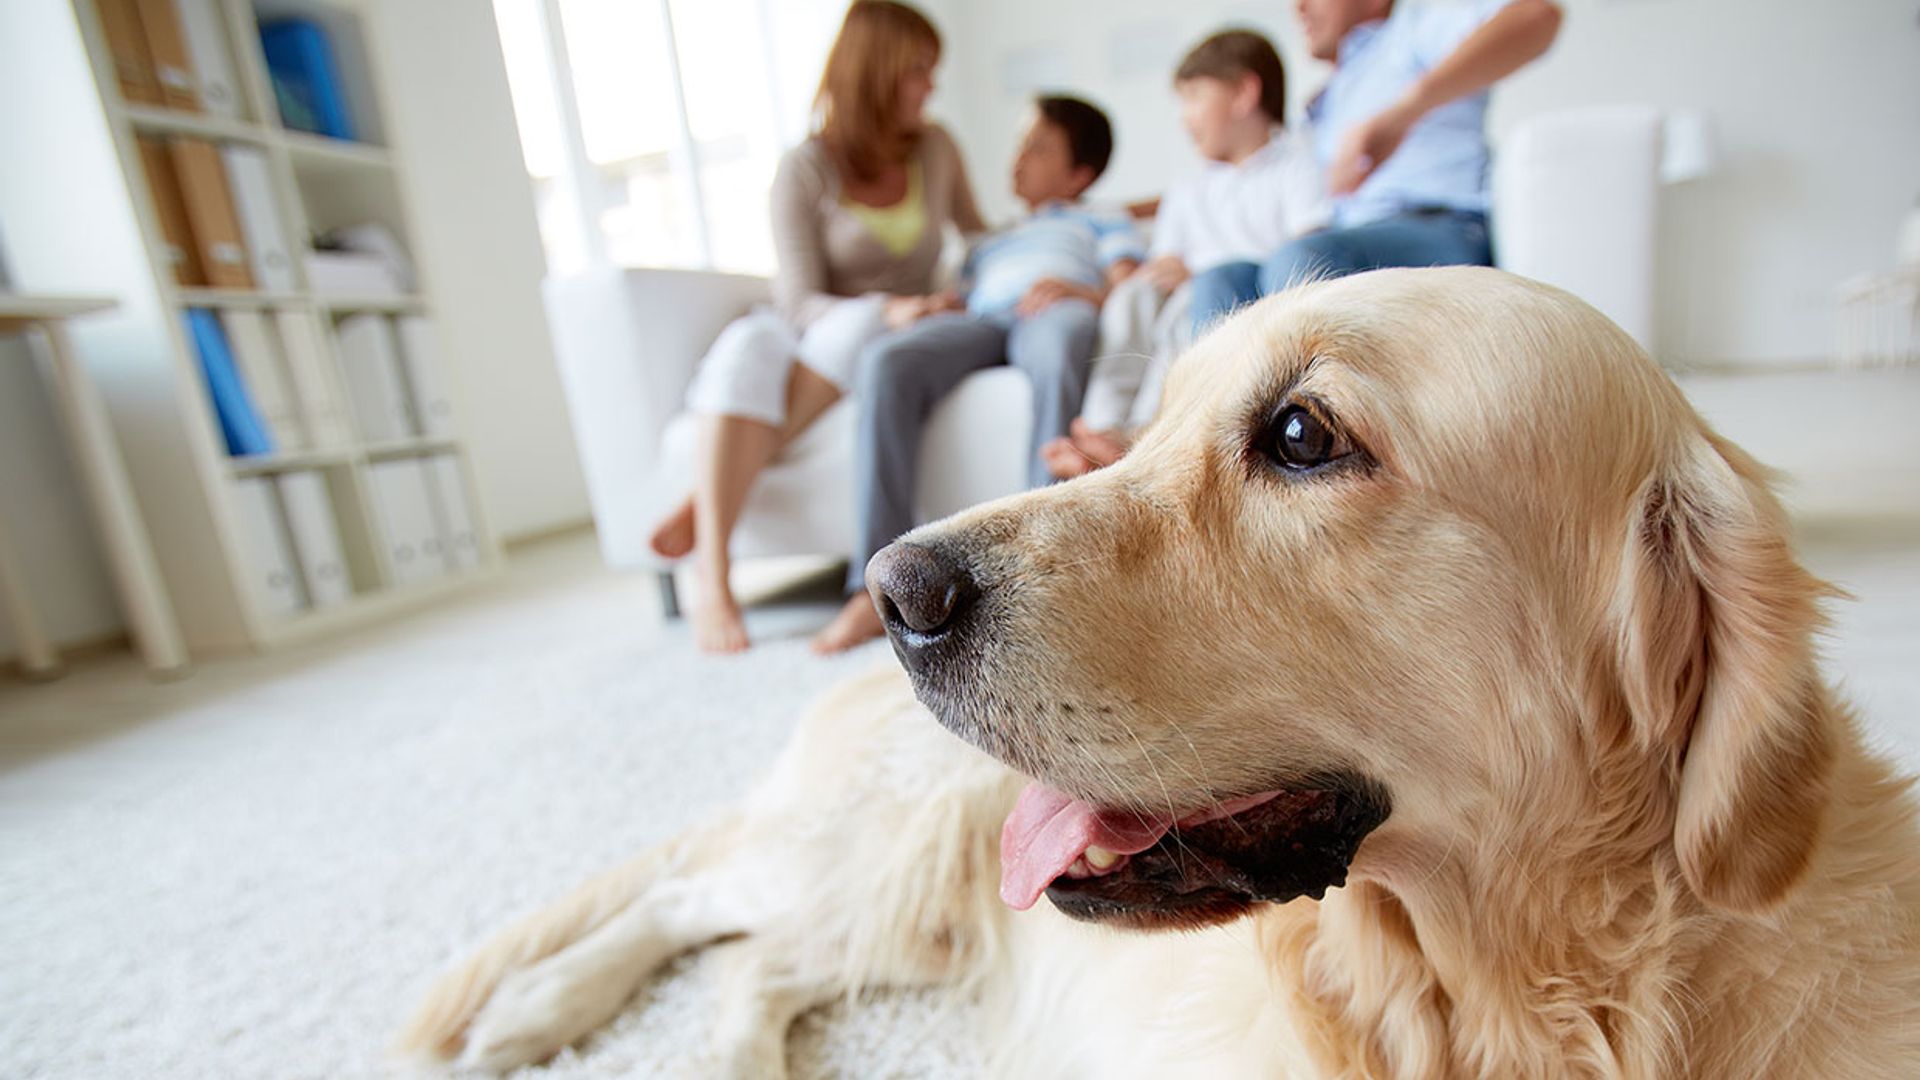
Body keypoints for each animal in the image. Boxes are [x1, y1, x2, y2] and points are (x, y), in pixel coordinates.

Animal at [393, 269, 1920, 1076]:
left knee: (753, 961)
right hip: (887, 858)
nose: (889, 591)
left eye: (1301, 435)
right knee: (698, 904)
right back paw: (541, 1009)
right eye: (1154, 421)